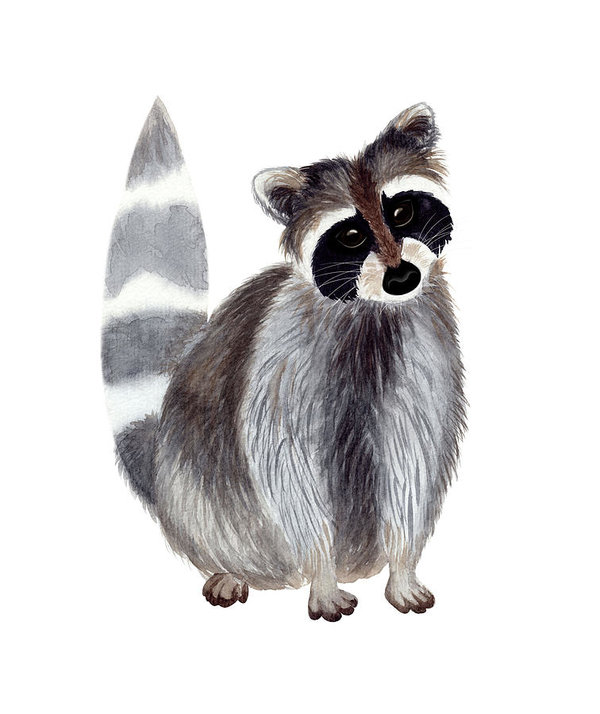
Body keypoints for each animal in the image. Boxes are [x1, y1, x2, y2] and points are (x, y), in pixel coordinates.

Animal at [102, 98, 466, 621]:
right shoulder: (280, 362)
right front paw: (322, 575)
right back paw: (234, 568)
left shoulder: (423, 350)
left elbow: (411, 460)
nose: (402, 278)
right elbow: (285, 464)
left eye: (401, 210)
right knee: (205, 500)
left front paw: (402, 570)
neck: (370, 310)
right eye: (351, 235)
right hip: (194, 487)